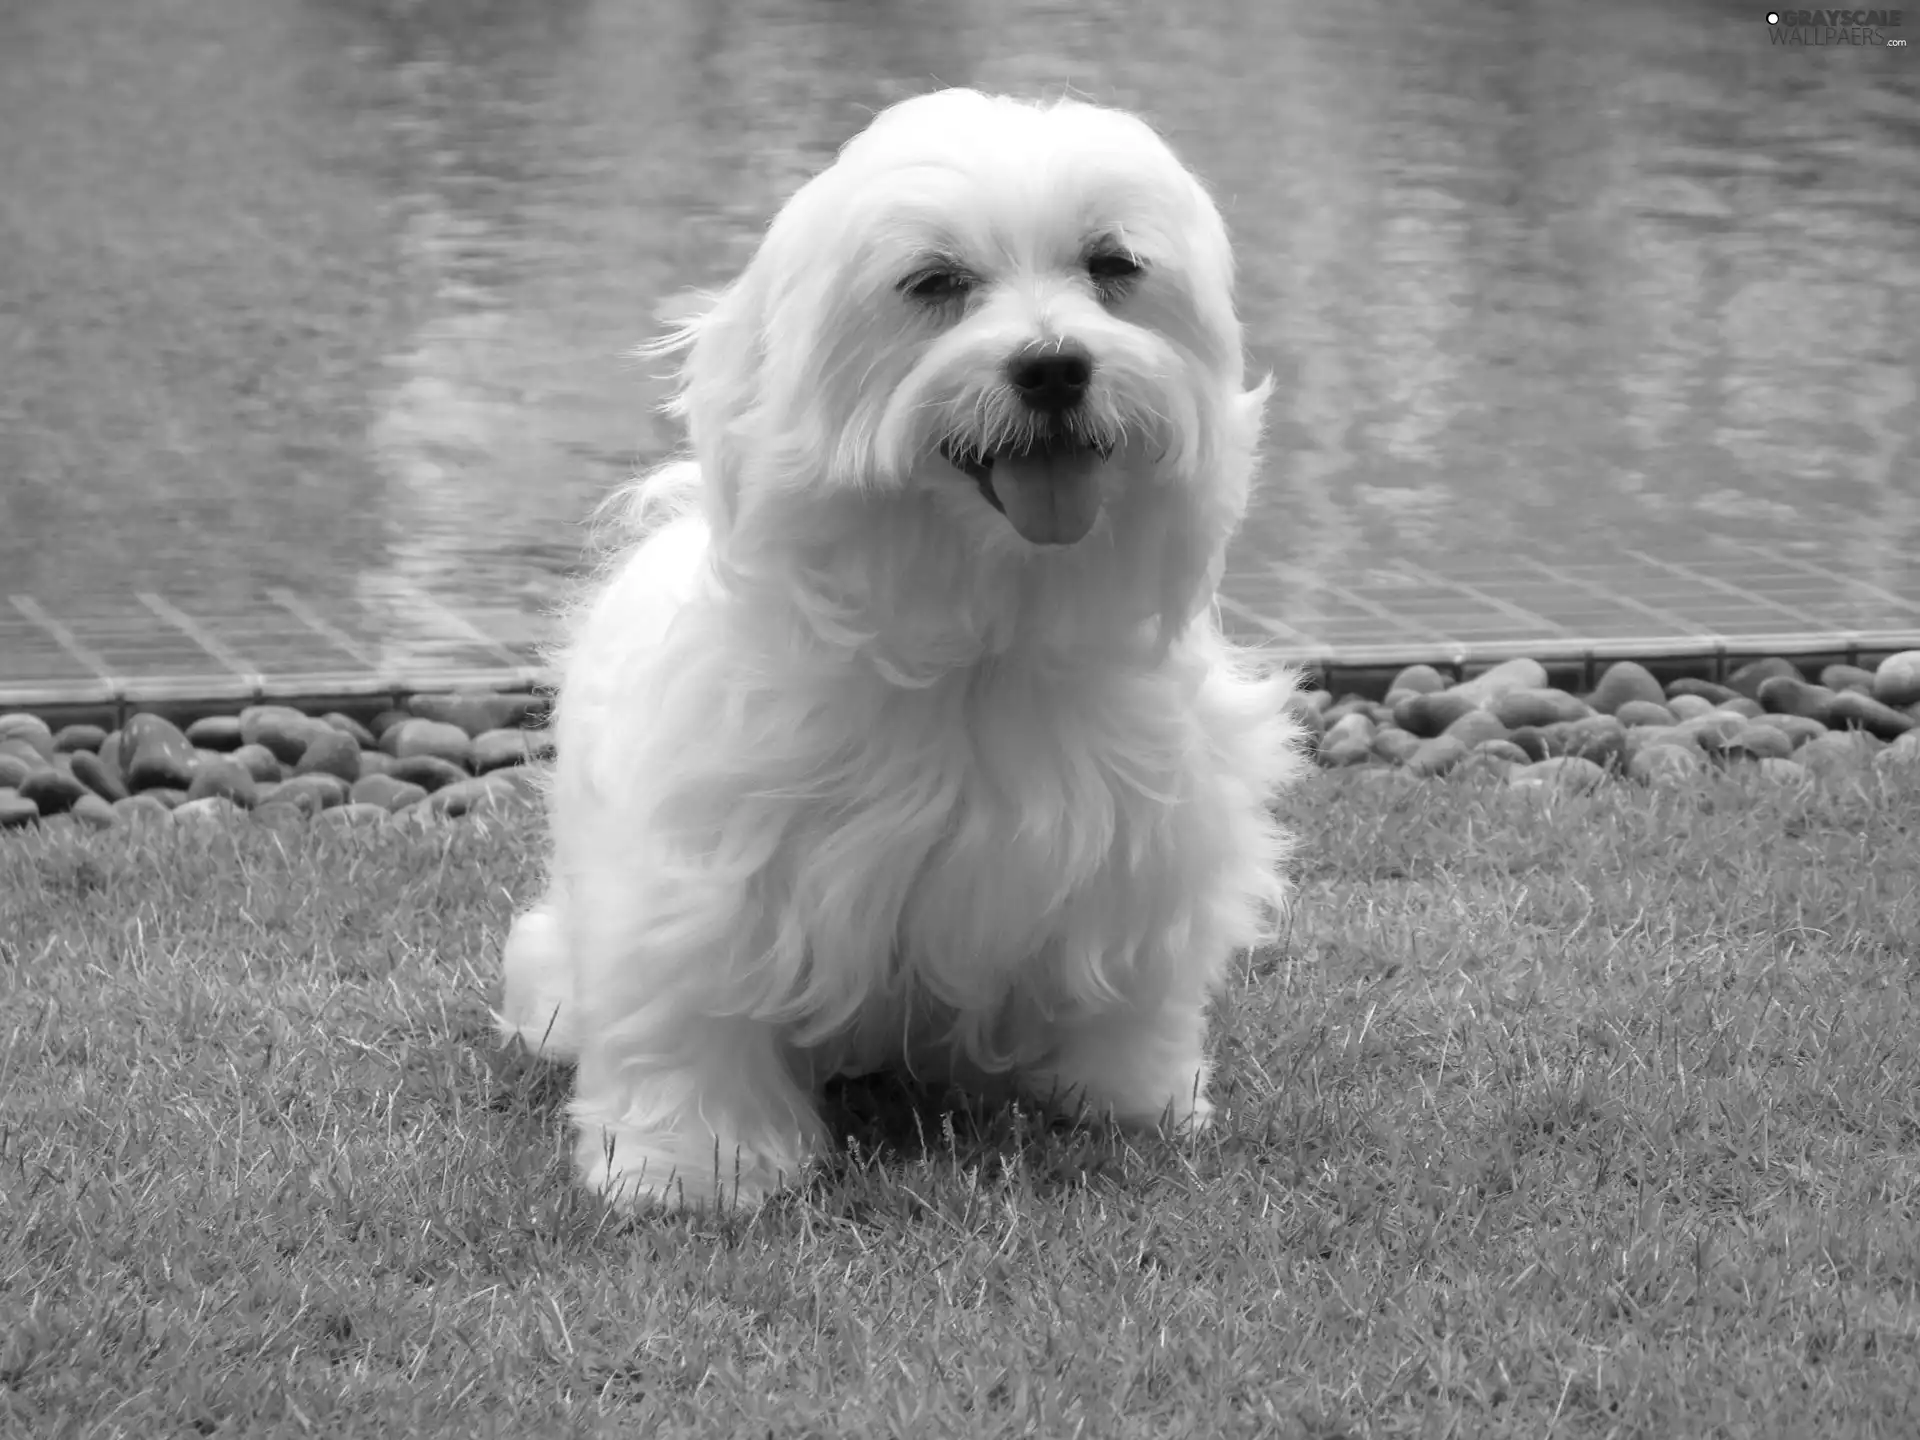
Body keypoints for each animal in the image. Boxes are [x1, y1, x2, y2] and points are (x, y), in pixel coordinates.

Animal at [495, 90, 1305, 1213]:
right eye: (934, 283)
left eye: (1112, 265)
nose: (1054, 364)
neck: (977, 629)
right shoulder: (707, 881)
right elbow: (695, 1017)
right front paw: (690, 1168)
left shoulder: (1142, 856)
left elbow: (1124, 994)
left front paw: (1132, 1101)